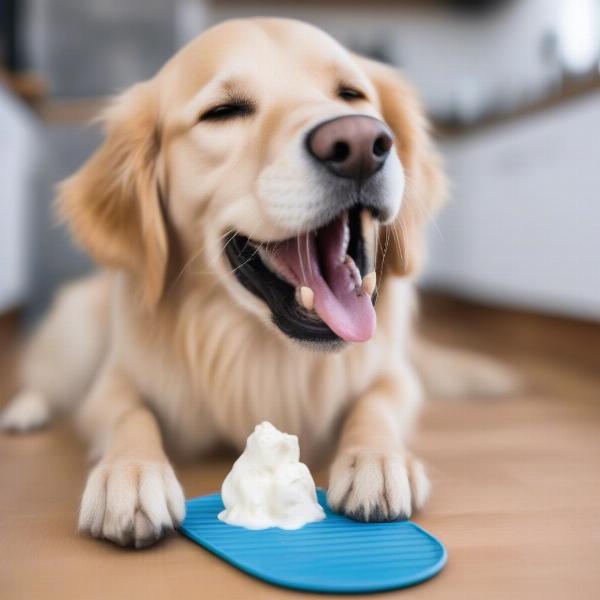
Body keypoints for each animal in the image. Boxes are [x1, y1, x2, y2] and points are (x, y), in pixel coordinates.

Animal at [1, 18, 446, 548]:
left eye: (351, 95)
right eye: (223, 112)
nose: (359, 143)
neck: (257, 349)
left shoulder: (393, 375)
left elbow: (375, 404)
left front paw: (377, 459)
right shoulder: (113, 380)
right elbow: (129, 413)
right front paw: (130, 473)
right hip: (75, 337)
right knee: (45, 381)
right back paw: (23, 412)